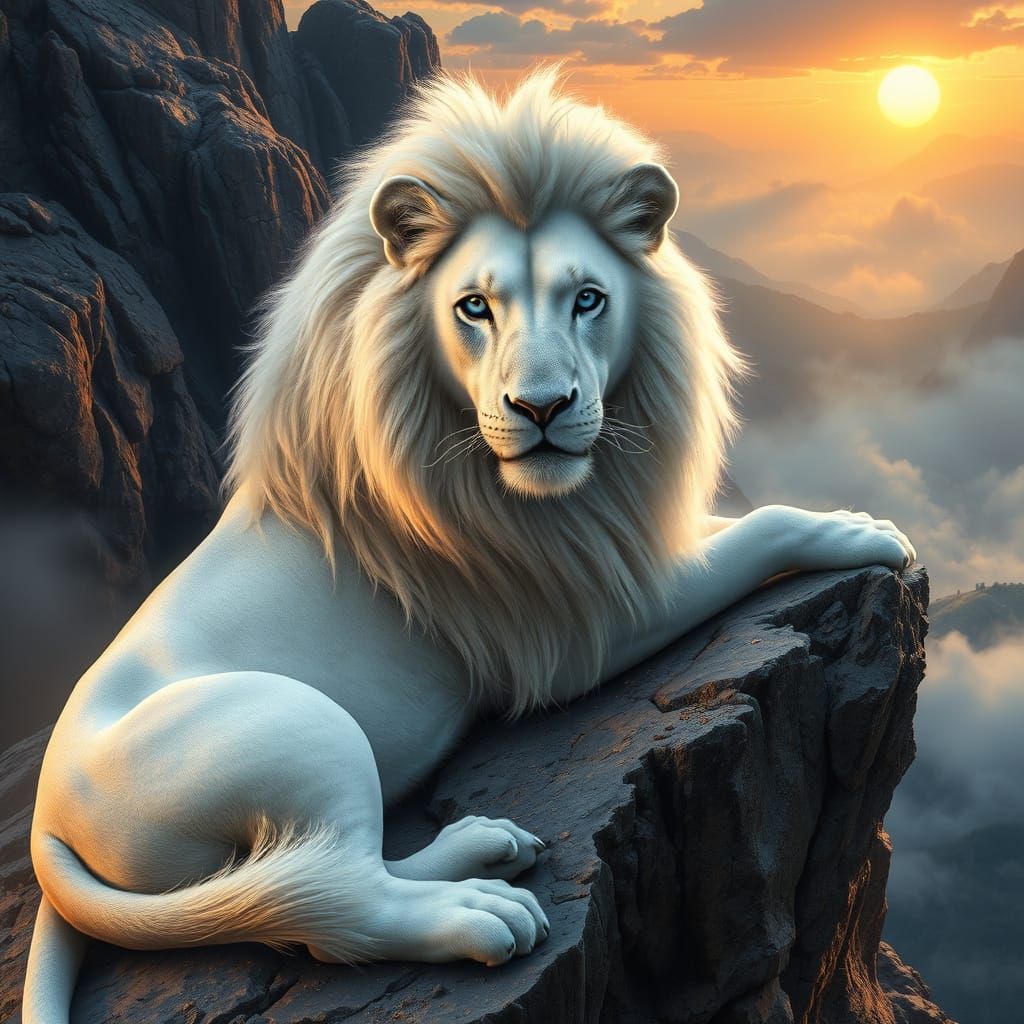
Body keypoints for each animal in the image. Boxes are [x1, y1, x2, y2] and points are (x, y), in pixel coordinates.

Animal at [22, 66, 915, 1022]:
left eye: (588, 297)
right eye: (474, 307)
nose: (543, 407)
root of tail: (43, 828)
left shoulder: (621, 544)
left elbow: (716, 529)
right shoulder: (576, 630)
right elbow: (757, 531)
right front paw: (858, 530)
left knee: (322, 871)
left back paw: (485, 845)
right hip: (299, 728)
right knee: (331, 901)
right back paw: (483, 911)